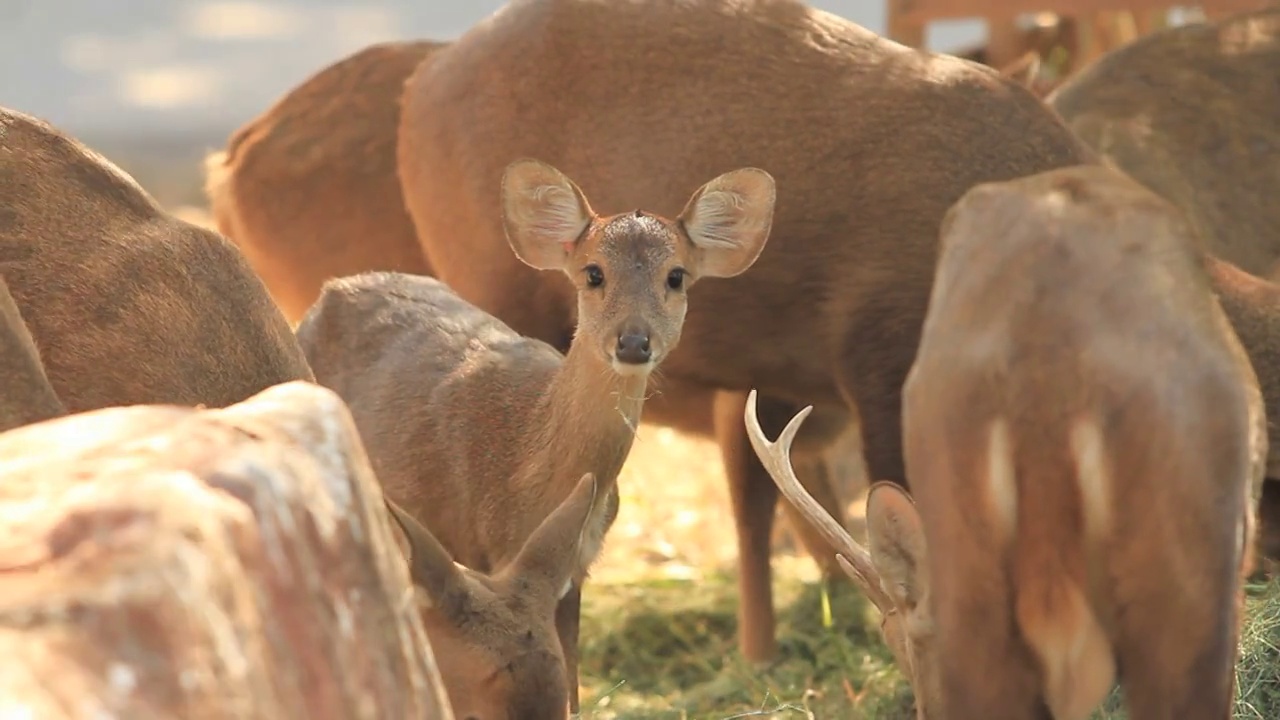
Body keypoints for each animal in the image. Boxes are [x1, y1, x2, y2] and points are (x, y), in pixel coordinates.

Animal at [294, 154, 773, 707]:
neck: (529, 470)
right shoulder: (471, 546)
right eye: (593, 273)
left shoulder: (576, 567)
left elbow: (572, 681)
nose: (633, 342)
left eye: (676, 276)